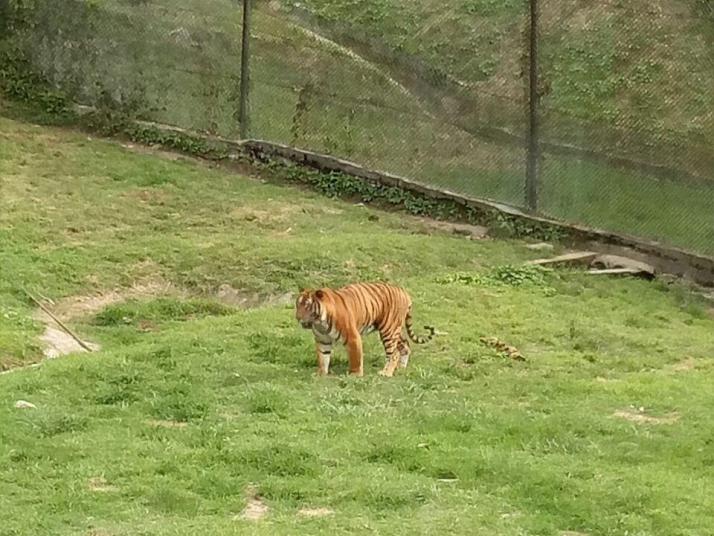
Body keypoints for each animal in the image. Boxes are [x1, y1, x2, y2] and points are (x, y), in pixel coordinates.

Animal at [294, 282, 434, 378]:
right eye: (297, 304)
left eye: (307, 305)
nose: (297, 318)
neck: (320, 323)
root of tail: (403, 291)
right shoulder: (322, 340)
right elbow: (323, 358)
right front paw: (321, 374)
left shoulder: (352, 337)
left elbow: (355, 358)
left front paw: (355, 375)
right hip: (394, 329)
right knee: (405, 345)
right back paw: (400, 368)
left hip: (389, 330)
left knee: (394, 353)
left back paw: (386, 373)